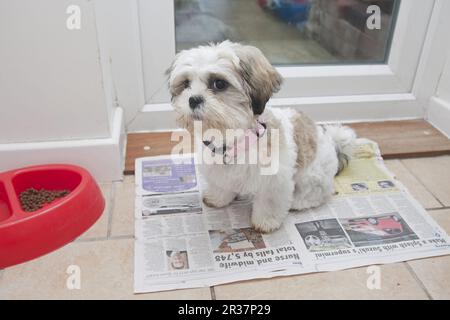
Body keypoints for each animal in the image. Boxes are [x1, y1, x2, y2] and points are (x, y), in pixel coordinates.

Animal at [167, 41, 356, 234]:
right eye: (186, 84)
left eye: (219, 83)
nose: (193, 99)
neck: (235, 140)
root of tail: (332, 142)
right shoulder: (219, 172)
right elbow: (221, 185)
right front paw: (217, 198)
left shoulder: (274, 180)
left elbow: (269, 202)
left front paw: (266, 221)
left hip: (312, 176)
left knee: (316, 193)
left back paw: (298, 202)